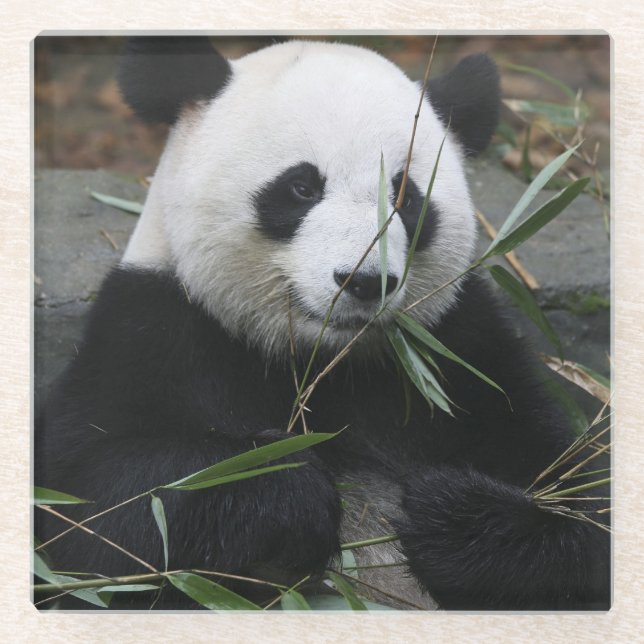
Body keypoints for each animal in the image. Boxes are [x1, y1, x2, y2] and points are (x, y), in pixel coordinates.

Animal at [35, 36, 610, 611]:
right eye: (301, 188)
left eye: (405, 197)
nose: (365, 281)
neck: (325, 362)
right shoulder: (154, 331)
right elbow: (96, 514)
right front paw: (285, 487)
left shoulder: (462, 353)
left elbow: (582, 504)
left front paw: (451, 518)